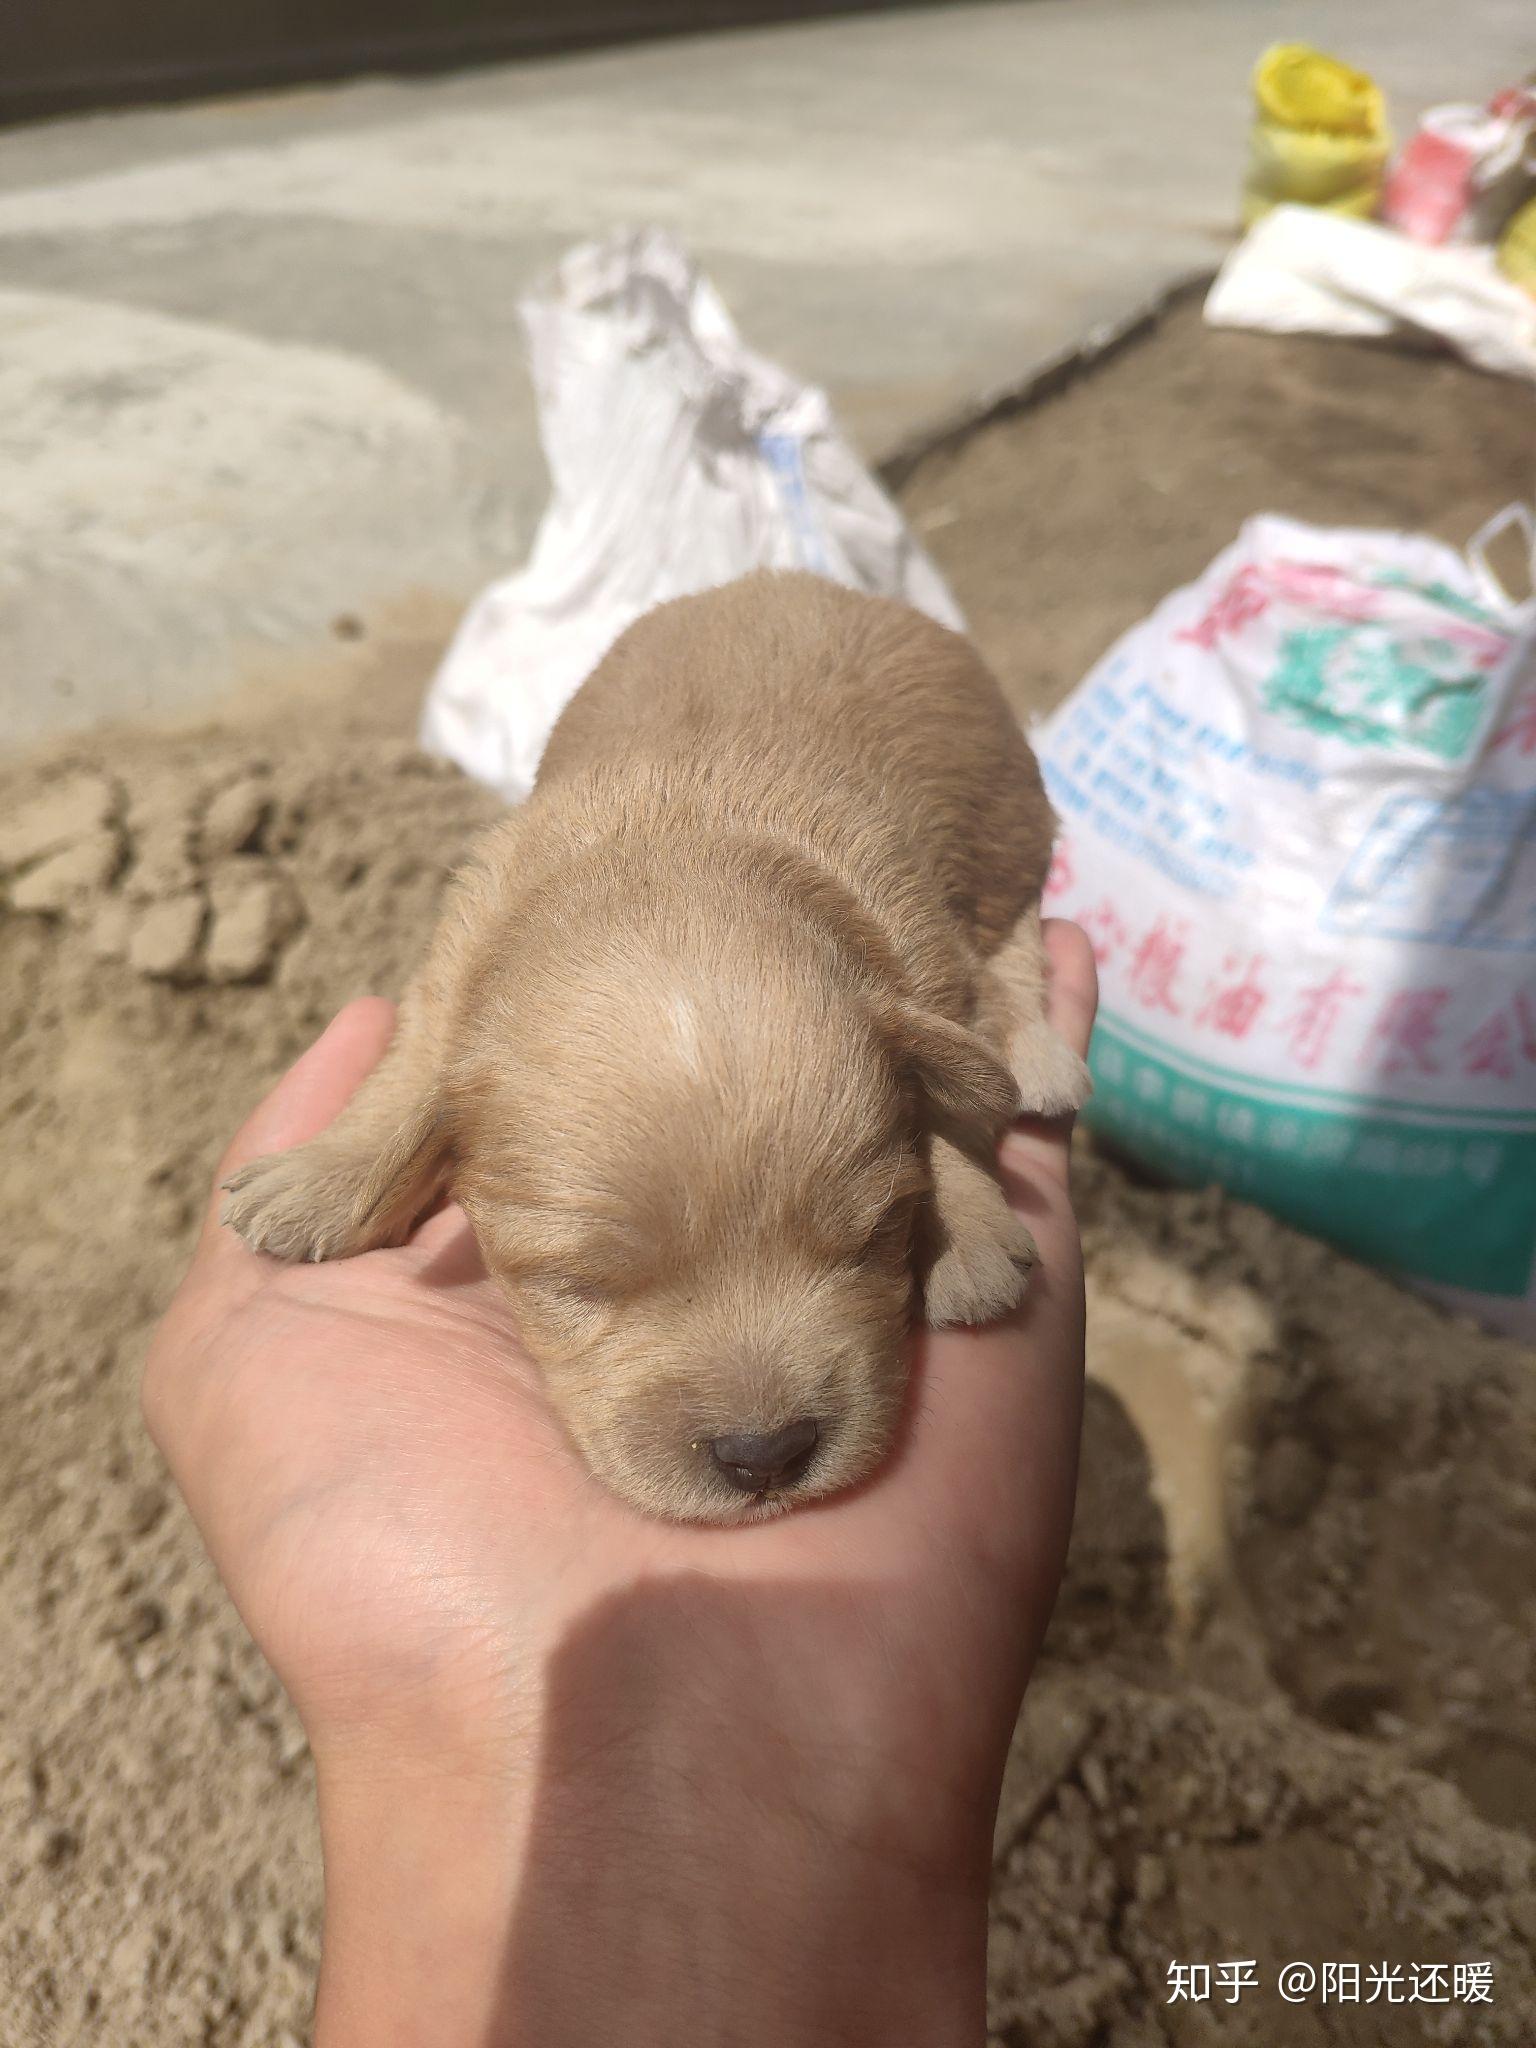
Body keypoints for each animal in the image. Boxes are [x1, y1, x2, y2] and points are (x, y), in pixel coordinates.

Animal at [225, 569, 1097, 1515]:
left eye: (873, 1239)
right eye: (577, 1286)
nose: (766, 1456)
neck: (673, 856)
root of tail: (824, 584)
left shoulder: (923, 954)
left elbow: (956, 1091)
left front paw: (965, 1234)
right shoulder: (455, 957)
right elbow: (410, 1069)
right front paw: (320, 1178)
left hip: (1006, 815)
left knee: (1017, 940)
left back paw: (1039, 1059)